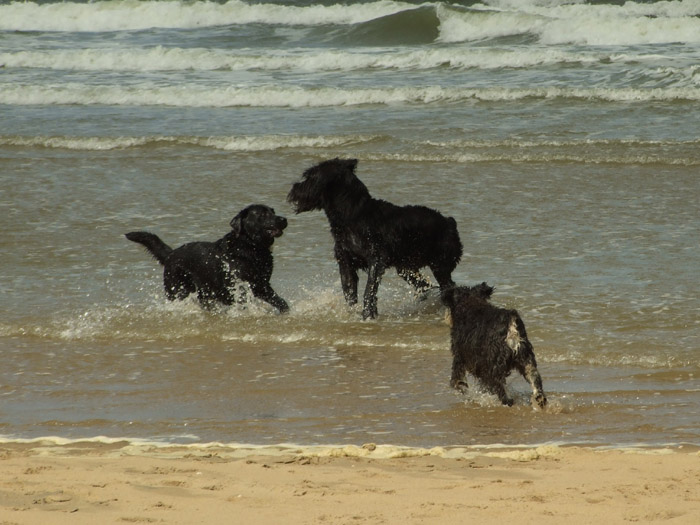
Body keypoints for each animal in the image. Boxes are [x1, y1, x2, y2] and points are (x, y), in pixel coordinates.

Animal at [126, 204, 290, 312]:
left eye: (273, 211)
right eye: (262, 214)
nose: (284, 219)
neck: (251, 247)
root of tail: (171, 254)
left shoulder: (262, 285)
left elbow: (280, 302)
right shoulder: (238, 286)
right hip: (177, 290)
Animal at [288, 158, 462, 318]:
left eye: (310, 177)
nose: (294, 188)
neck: (352, 215)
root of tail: (449, 222)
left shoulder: (376, 261)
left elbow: (369, 290)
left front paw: (367, 314)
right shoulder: (345, 263)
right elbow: (349, 293)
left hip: (440, 264)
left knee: (447, 286)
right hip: (405, 267)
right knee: (425, 285)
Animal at [442, 280, 548, 408]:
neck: (469, 303)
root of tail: (511, 325)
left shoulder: (460, 357)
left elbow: (457, 380)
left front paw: (461, 387)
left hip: (493, 365)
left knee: (502, 391)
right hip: (526, 359)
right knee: (535, 381)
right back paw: (539, 399)